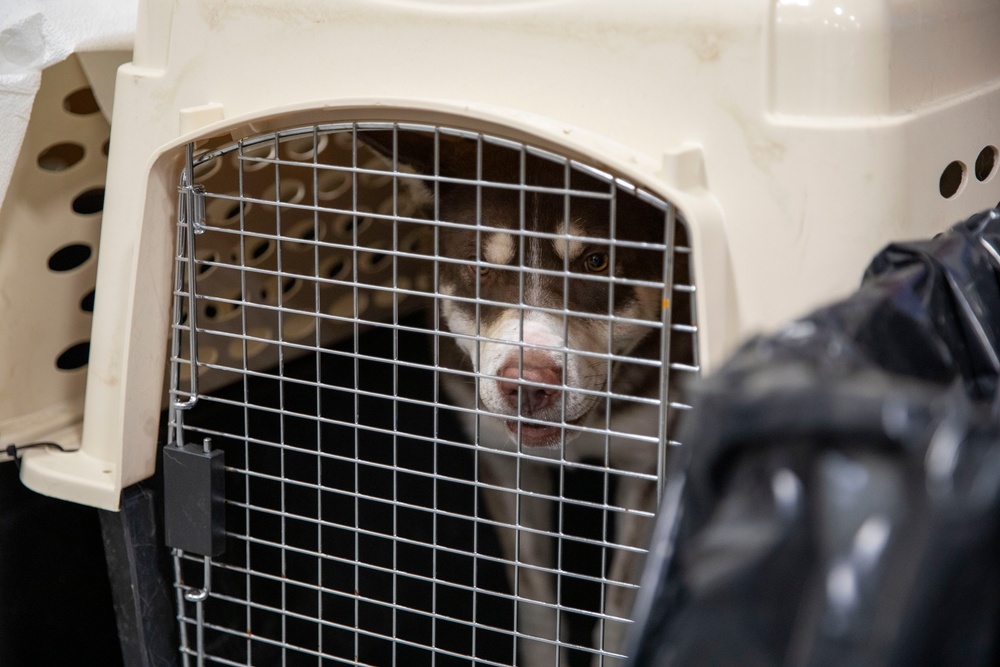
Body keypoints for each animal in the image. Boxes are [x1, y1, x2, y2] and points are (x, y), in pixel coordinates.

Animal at [364, 128, 692, 664]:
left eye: (597, 262)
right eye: (479, 265)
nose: (529, 384)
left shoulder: (649, 457)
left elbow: (620, 608)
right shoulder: (500, 455)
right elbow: (535, 597)